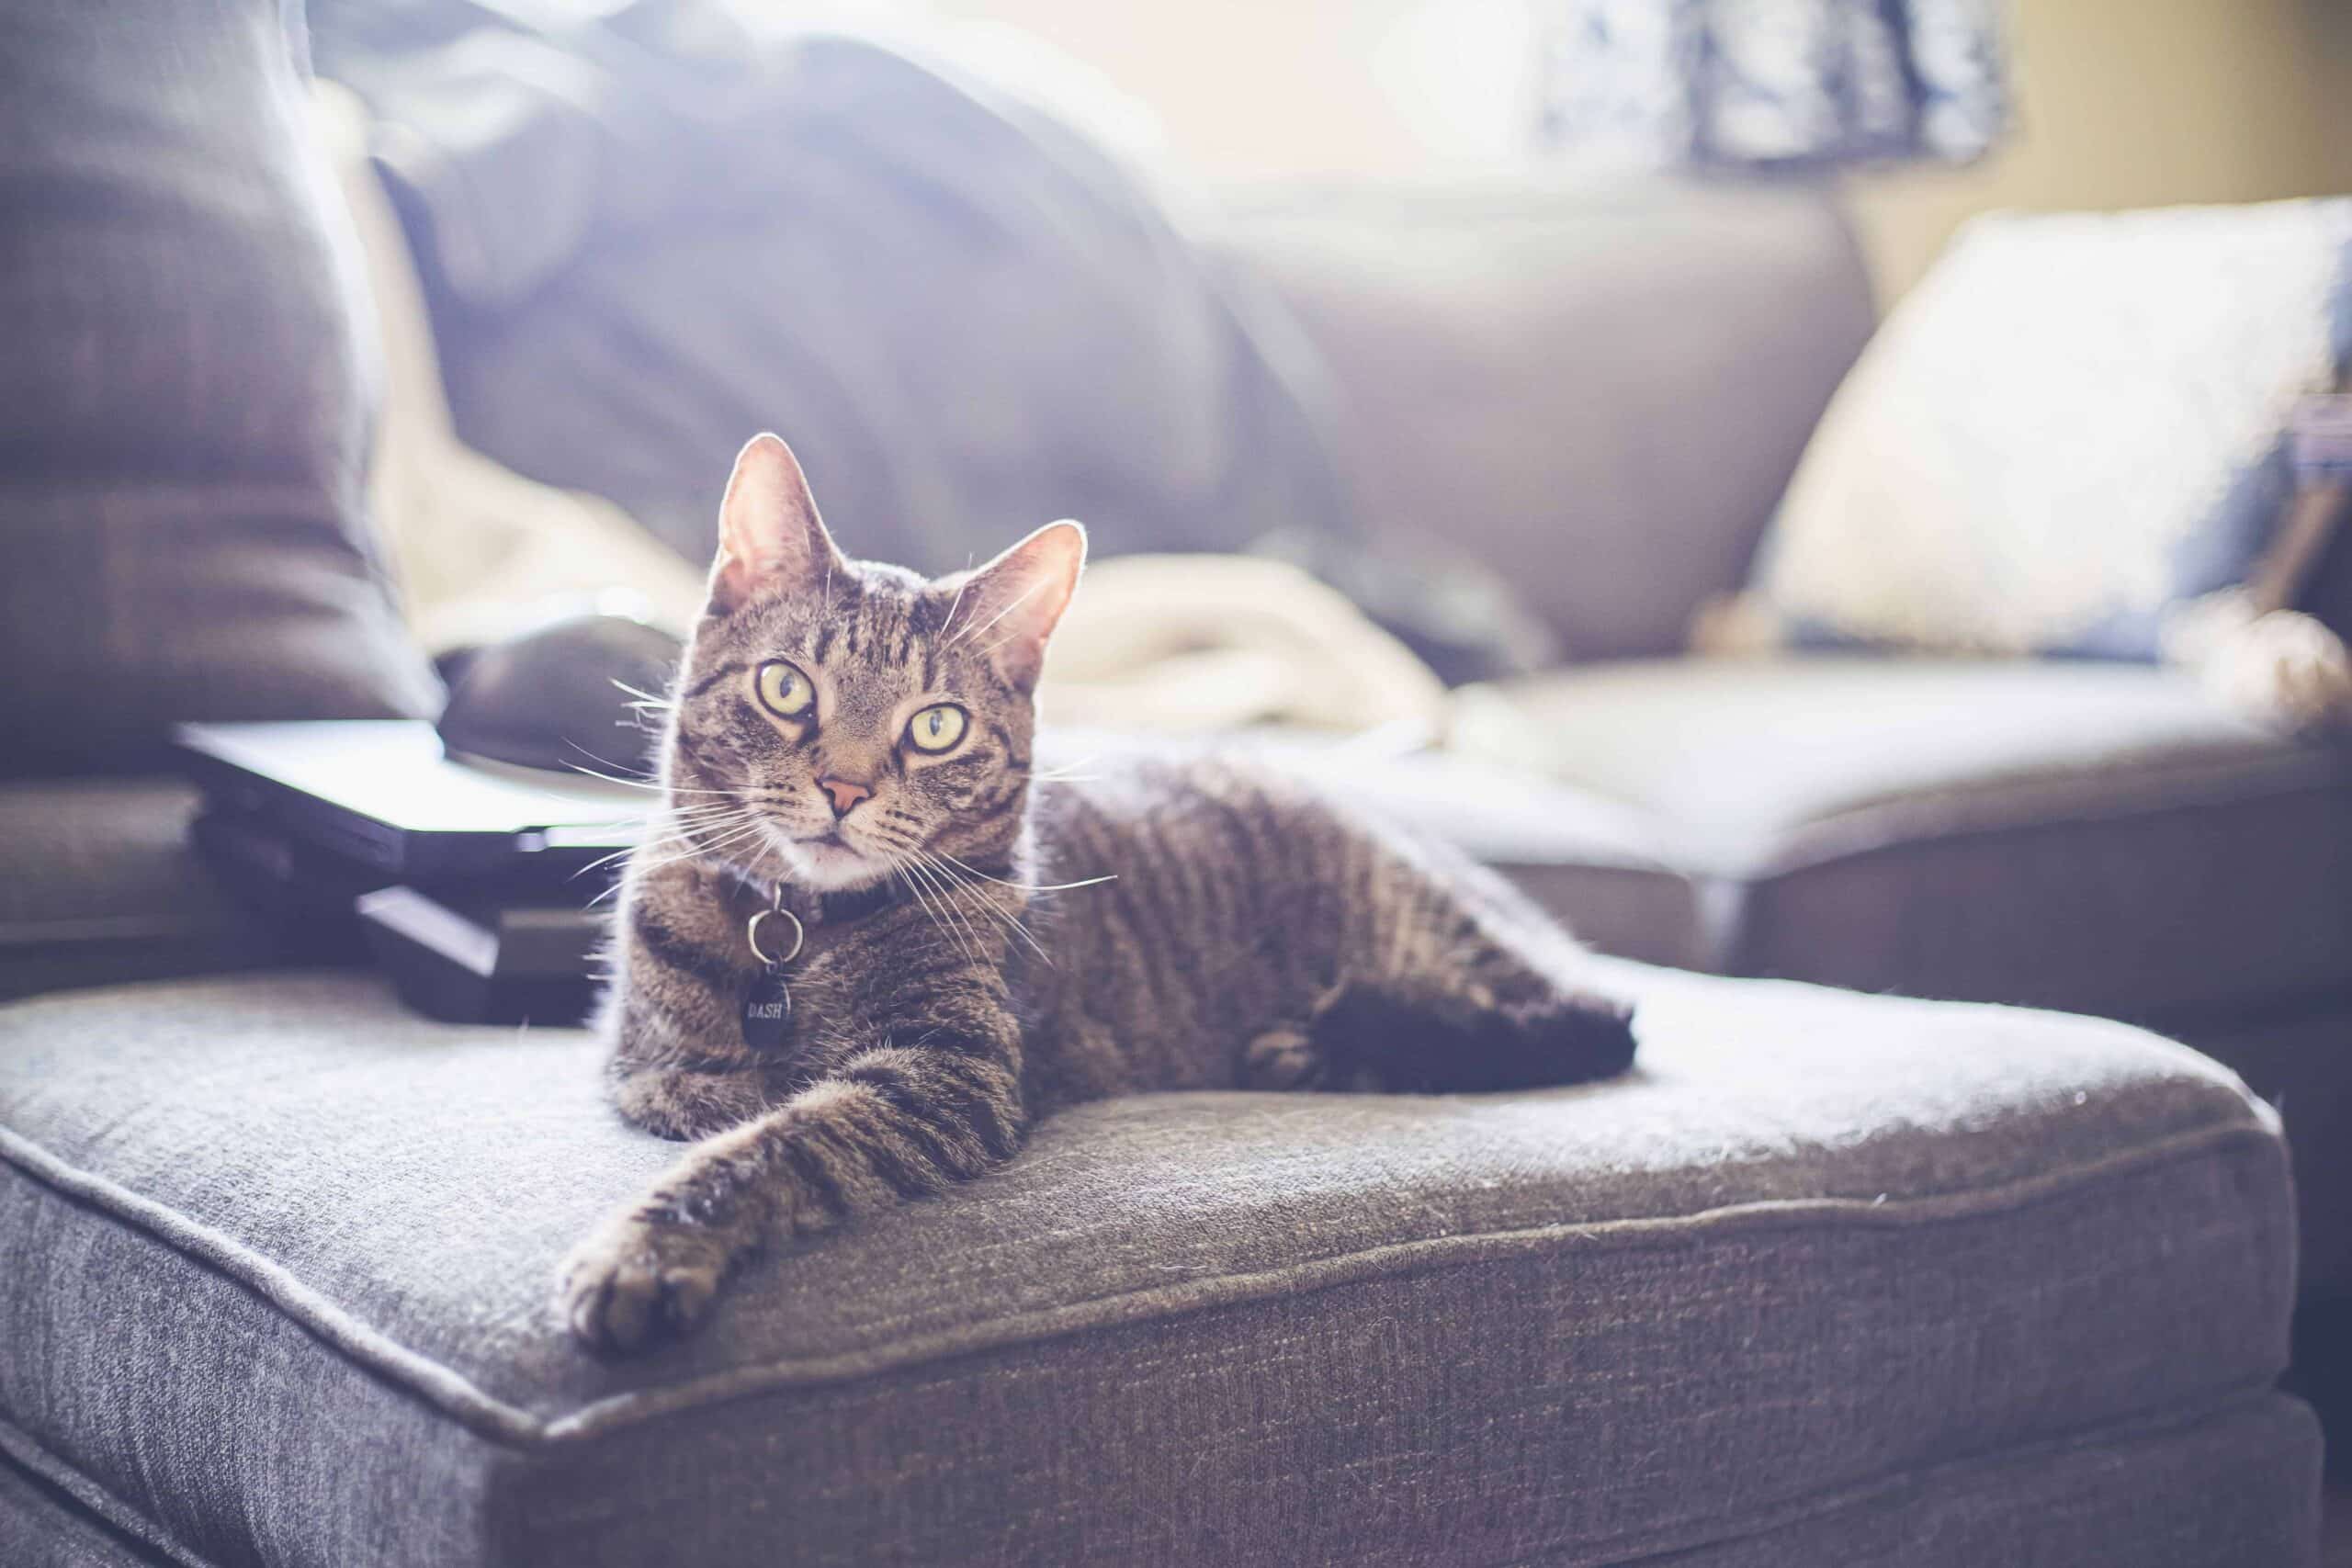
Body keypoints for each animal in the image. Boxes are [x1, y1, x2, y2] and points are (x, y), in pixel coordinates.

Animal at [564, 434, 1636, 1354]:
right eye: (786, 688)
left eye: (938, 726)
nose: (844, 788)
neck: (797, 936)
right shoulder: (644, 1053)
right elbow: (699, 1090)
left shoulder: (950, 1073)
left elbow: (780, 1142)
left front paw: (649, 1248)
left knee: (1586, 1022)